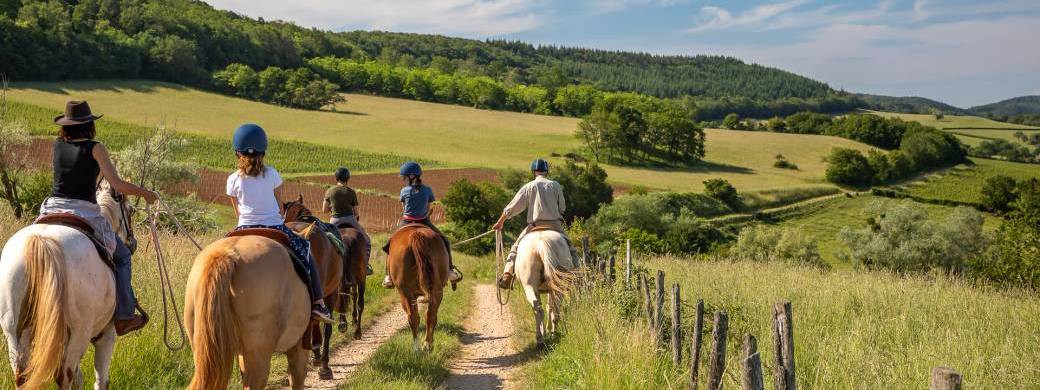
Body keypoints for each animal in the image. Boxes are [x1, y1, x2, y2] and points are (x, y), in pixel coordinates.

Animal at [0, 182, 132, 388]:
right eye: (131, 210)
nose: (132, 243)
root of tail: (43, 241)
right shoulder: (107, 336)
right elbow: (100, 379)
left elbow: (79, 378)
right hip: (79, 334)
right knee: (64, 375)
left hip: (14, 332)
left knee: (22, 375)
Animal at [384, 224, 445, 353]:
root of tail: (416, 235)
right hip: (437, 291)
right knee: (430, 315)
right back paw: (427, 344)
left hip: (406, 293)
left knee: (413, 318)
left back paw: (416, 348)